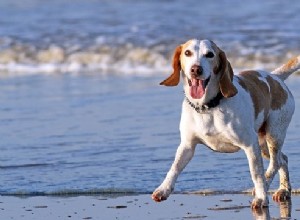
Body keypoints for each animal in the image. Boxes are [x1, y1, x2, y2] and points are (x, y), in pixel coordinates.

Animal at [152, 38, 300, 209]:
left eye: (210, 54)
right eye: (187, 53)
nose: (196, 69)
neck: (208, 107)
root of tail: (275, 77)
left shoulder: (250, 145)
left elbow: (256, 174)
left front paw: (261, 198)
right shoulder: (187, 146)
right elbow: (174, 167)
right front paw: (163, 189)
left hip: (273, 135)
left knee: (275, 164)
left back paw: (266, 187)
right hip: (263, 143)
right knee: (283, 159)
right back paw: (284, 190)